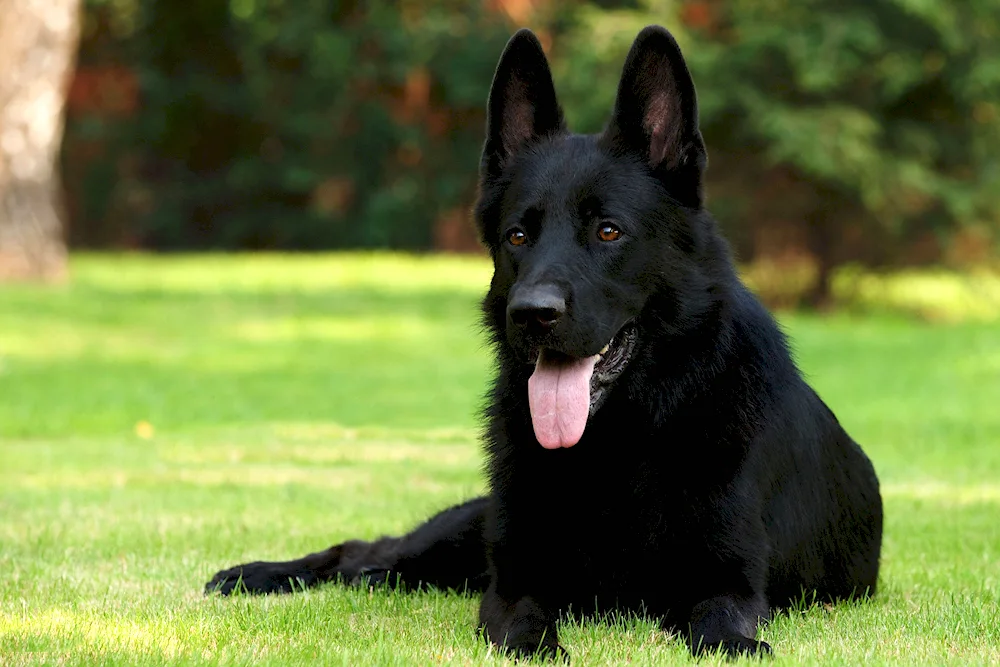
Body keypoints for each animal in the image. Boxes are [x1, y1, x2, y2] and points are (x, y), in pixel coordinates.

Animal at [205, 24, 884, 656]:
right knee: (363, 550)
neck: (618, 443)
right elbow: (524, 629)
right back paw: (255, 574)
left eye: (609, 231)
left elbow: (720, 631)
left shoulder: (730, 586)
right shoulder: (513, 584)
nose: (532, 314)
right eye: (517, 236)